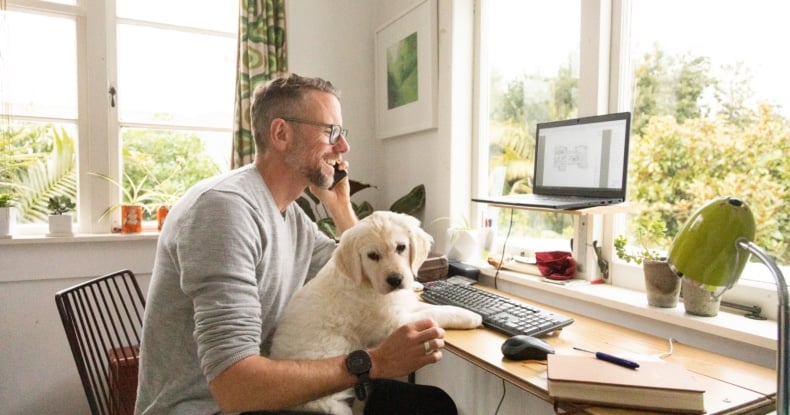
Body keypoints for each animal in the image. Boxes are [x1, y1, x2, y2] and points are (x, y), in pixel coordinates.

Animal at [270, 211, 482, 415]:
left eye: (401, 247)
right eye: (372, 255)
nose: (396, 280)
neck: (367, 283)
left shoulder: (403, 306)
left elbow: (431, 308)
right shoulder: (393, 324)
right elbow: (434, 314)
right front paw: (470, 316)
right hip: (328, 403)